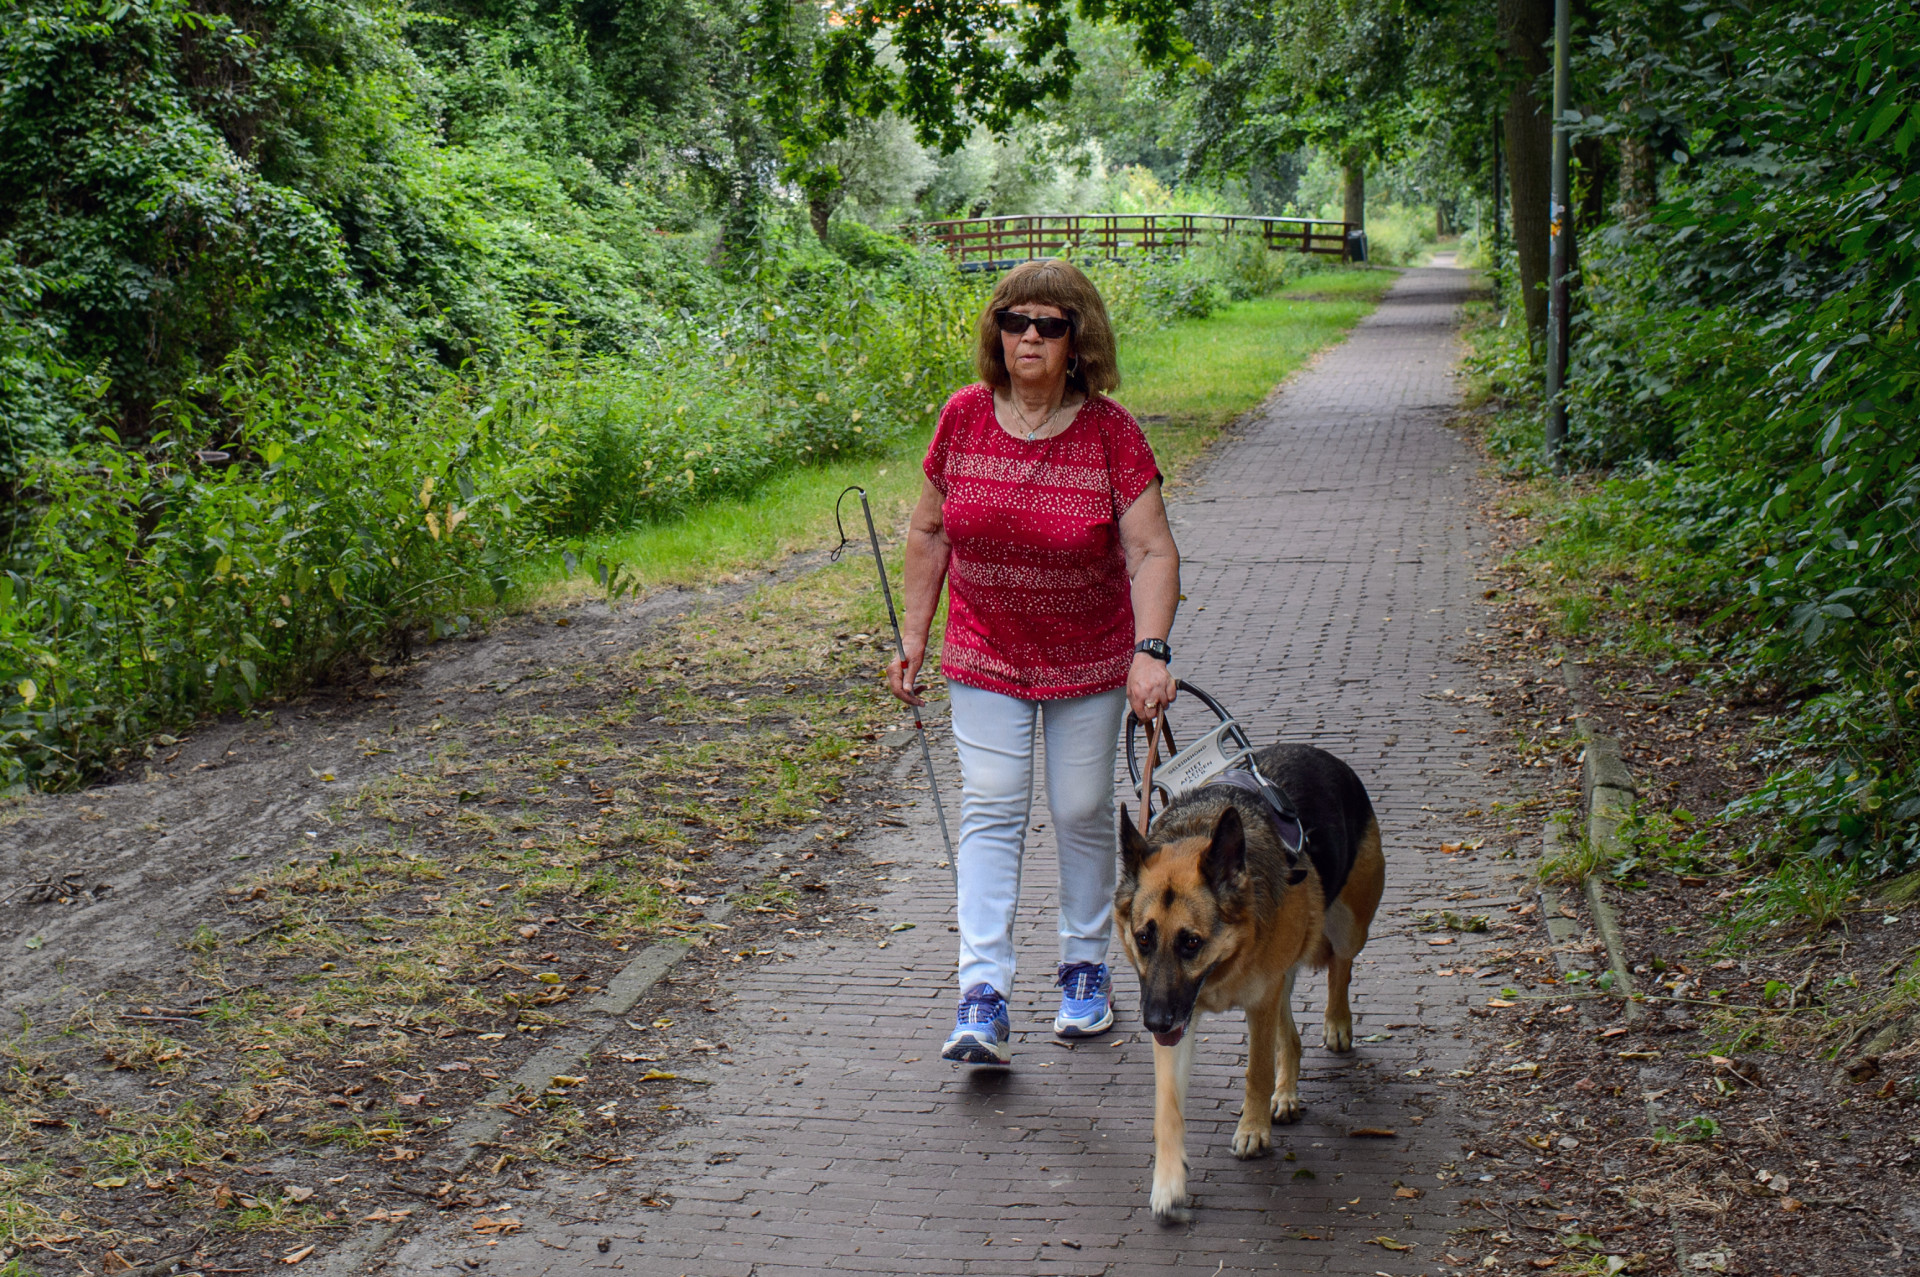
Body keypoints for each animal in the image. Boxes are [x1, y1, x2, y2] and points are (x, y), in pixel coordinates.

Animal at [1113, 741, 1382, 1221]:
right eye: (1144, 938)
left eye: (1191, 942)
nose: (1154, 1023)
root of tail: (1316, 751)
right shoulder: (1187, 1020)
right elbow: (1168, 1108)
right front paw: (1168, 1183)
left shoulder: (1259, 1002)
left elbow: (1256, 1071)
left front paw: (1253, 1131)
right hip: (1278, 981)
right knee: (1291, 1037)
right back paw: (1287, 1095)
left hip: (1346, 928)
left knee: (1342, 966)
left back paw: (1336, 1023)